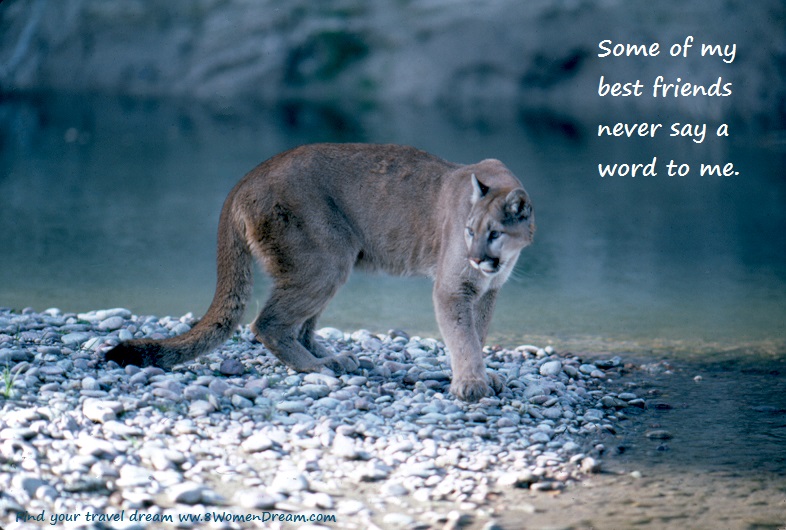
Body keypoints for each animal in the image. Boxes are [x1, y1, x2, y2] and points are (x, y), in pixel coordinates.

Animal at [104, 142, 532, 398]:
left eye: (493, 233)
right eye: (469, 231)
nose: (476, 257)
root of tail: (246, 178)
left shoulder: (486, 290)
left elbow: (477, 332)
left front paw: (482, 376)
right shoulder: (454, 288)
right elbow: (462, 336)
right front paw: (471, 383)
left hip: (329, 263)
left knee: (301, 326)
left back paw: (335, 357)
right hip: (325, 262)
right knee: (267, 323)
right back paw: (317, 366)